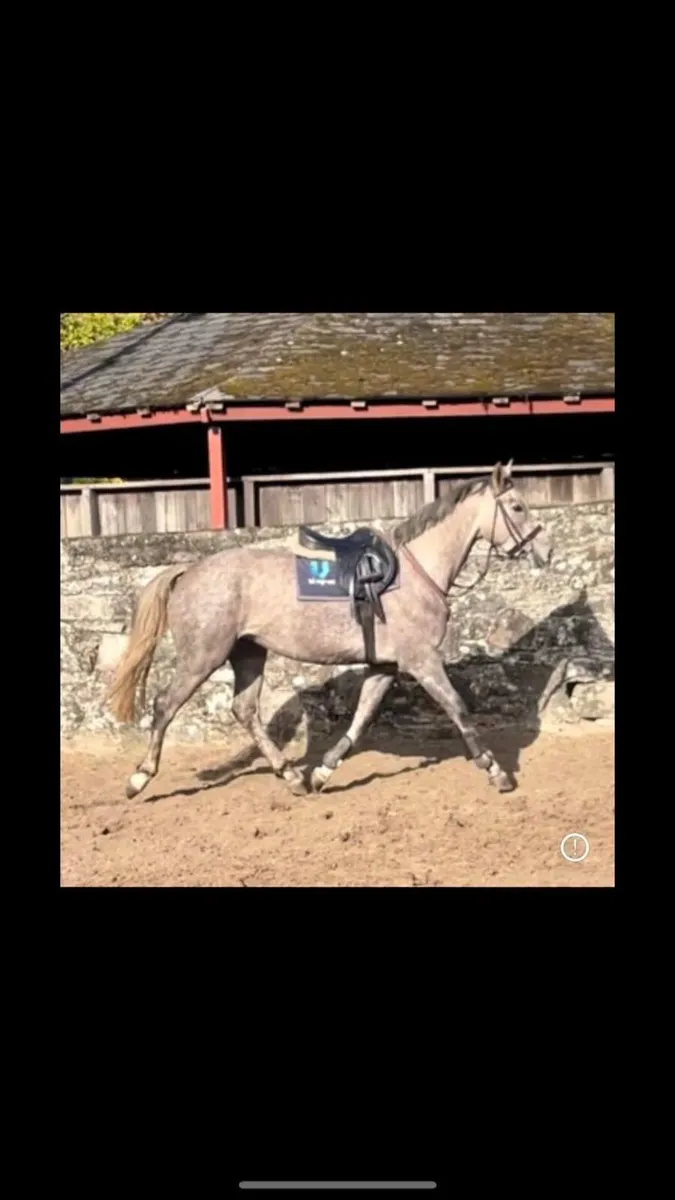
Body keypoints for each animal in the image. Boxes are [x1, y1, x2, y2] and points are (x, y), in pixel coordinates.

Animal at [107, 461, 553, 800]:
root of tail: (189, 570)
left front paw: (322, 772)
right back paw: (139, 778)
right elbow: (457, 707)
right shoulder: (422, 661)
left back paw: (291, 776)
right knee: (165, 705)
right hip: (203, 656)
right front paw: (495, 770)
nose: (545, 551)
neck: (415, 573)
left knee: (244, 710)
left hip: (248, 653)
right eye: (517, 507)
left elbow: (361, 718)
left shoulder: (385, 666)